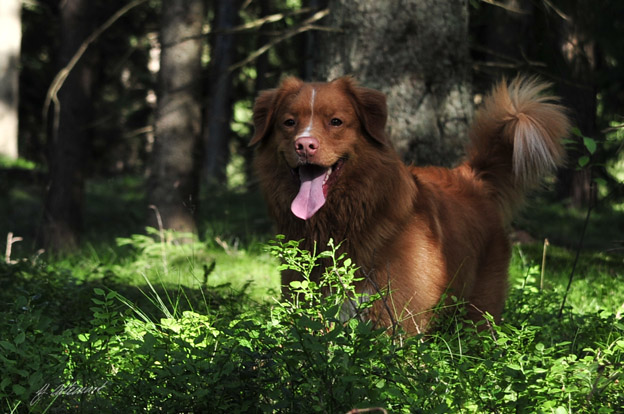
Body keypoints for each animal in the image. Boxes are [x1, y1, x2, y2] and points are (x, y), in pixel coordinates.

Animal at [250, 75, 572, 334]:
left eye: (336, 122)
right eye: (289, 122)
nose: (304, 145)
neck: (344, 222)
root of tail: (471, 177)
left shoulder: (398, 318)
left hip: (479, 314)